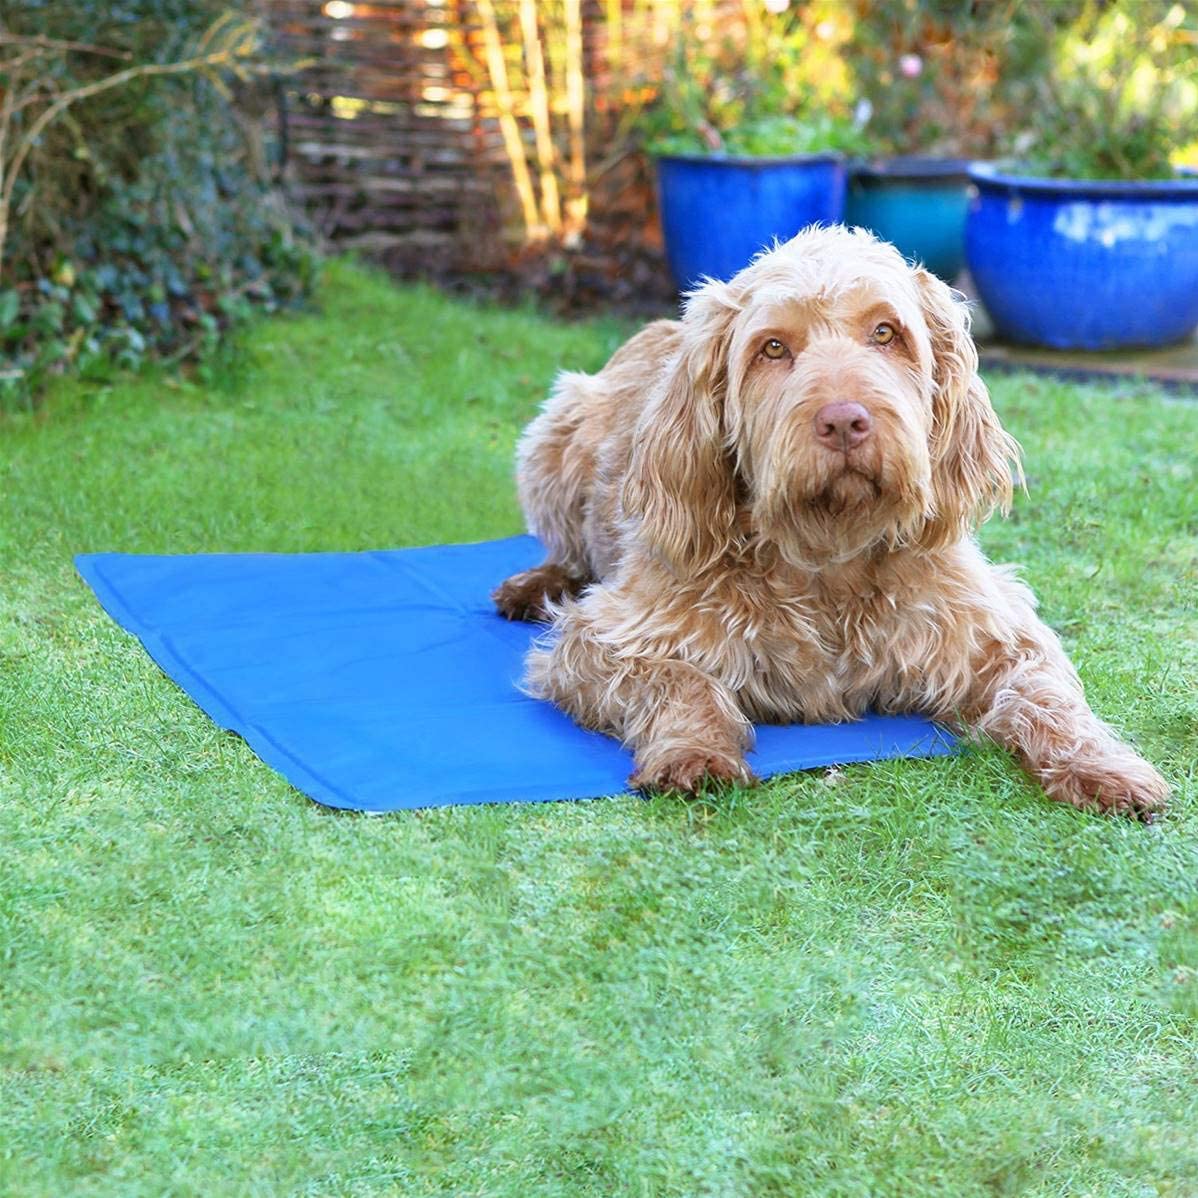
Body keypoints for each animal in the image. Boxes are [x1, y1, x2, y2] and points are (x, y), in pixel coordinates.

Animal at [491, 224, 1164, 819]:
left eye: (886, 332)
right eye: (773, 347)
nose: (844, 421)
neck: (829, 556)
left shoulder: (996, 632)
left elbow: (1047, 693)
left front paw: (1101, 764)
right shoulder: (603, 638)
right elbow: (680, 680)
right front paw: (693, 750)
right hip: (557, 428)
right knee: (566, 549)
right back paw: (537, 584)